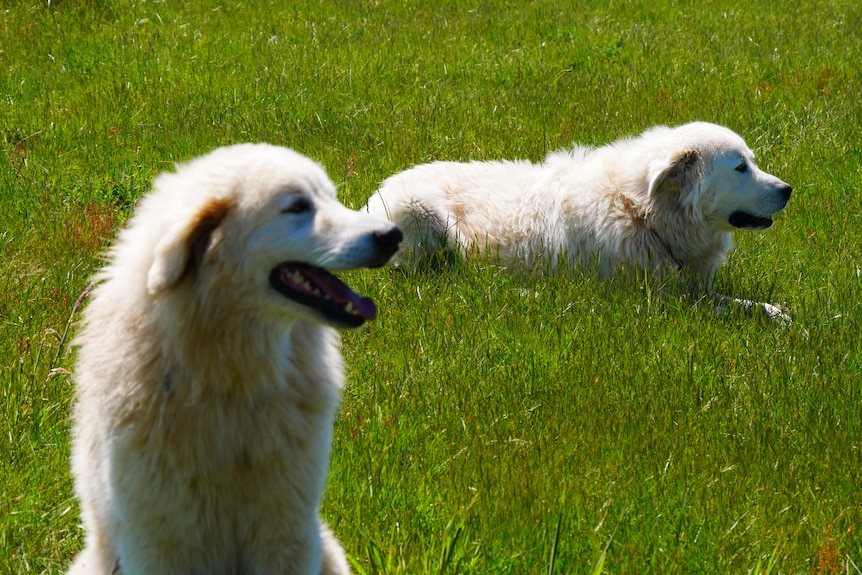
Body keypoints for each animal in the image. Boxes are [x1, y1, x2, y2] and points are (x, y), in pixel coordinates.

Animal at [68, 144, 404, 575]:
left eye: (331, 198)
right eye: (297, 206)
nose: (392, 235)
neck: (231, 379)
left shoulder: (285, 528)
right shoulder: (160, 541)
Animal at [368, 122, 792, 322]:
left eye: (751, 162)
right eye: (740, 167)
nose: (789, 189)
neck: (639, 212)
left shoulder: (690, 285)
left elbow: (742, 303)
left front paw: (777, 313)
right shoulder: (656, 300)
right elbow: (724, 309)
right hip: (424, 220)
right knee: (445, 279)